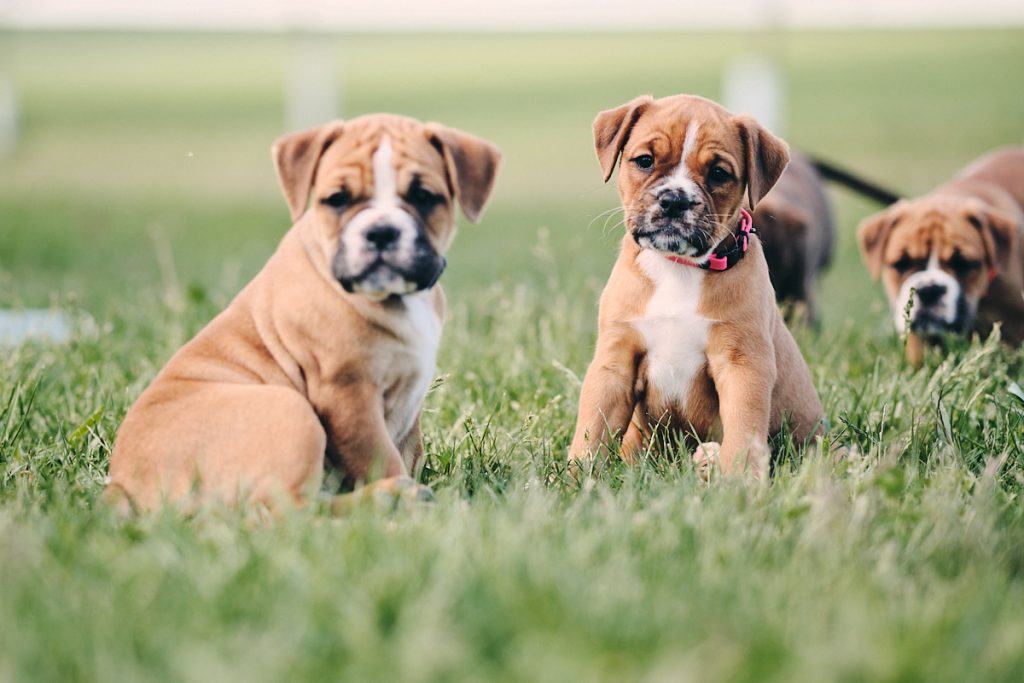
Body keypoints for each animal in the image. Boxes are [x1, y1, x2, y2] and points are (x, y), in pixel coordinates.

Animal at [107, 114, 499, 509]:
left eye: (423, 197)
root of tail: (120, 487)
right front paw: (405, 496)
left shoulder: (407, 403)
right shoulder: (347, 395)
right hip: (291, 410)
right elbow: (381, 458)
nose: (381, 231)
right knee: (289, 509)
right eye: (337, 200)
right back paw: (392, 496)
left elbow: (409, 451)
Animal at [569, 94, 823, 481]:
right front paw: (574, 480)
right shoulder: (615, 362)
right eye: (645, 161)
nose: (674, 200)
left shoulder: (743, 364)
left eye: (718, 173)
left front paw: (740, 481)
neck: (678, 268)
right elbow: (592, 428)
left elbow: (743, 428)